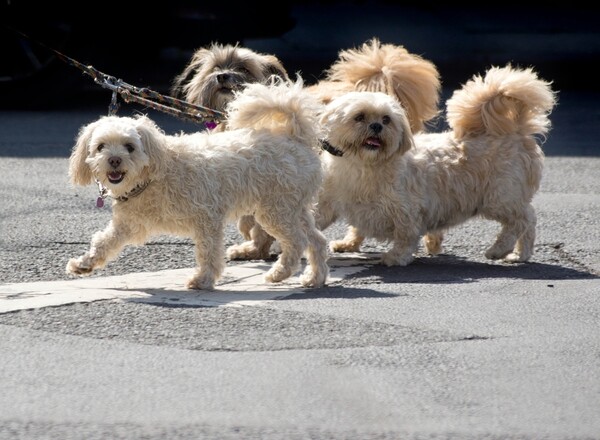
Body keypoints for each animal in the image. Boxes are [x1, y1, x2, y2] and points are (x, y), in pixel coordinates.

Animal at [67, 77, 328, 290]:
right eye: (100, 146)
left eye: (129, 147)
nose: (114, 160)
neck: (153, 176)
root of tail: (295, 138)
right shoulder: (130, 224)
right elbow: (104, 241)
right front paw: (84, 264)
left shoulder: (207, 219)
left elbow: (209, 252)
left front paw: (203, 280)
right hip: (294, 208)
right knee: (316, 240)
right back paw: (314, 278)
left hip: (275, 210)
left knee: (297, 241)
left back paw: (280, 273)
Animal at [316, 65, 556, 264]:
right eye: (359, 117)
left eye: (386, 119)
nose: (376, 126)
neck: (364, 165)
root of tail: (517, 131)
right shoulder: (332, 200)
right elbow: (336, 222)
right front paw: (348, 244)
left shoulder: (406, 210)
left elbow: (405, 236)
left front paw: (395, 257)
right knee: (527, 224)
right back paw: (520, 254)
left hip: (500, 198)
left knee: (522, 220)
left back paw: (499, 250)